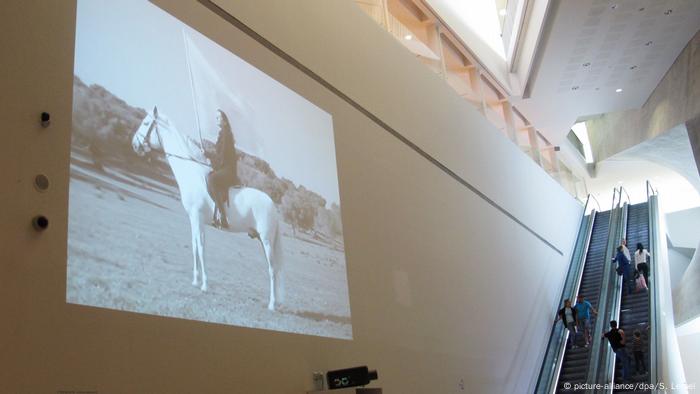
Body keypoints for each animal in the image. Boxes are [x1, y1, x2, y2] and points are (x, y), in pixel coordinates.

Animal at [131, 107, 284, 310]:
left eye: (146, 123)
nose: (134, 144)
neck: (192, 174)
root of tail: (272, 205)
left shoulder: (197, 217)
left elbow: (202, 247)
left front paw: (204, 284)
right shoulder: (193, 219)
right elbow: (195, 245)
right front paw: (195, 281)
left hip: (266, 240)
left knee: (272, 269)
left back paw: (272, 305)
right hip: (261, 239)